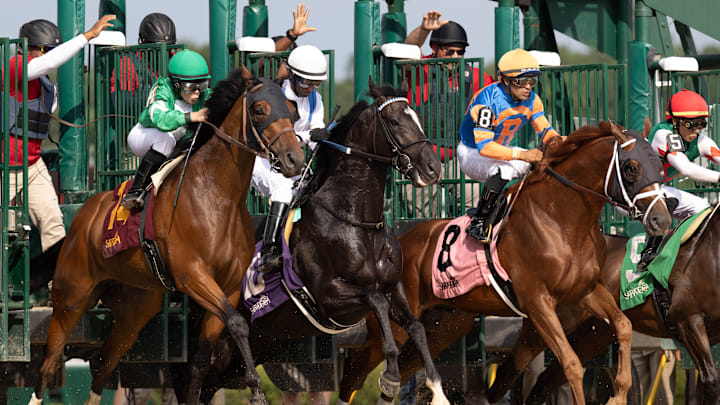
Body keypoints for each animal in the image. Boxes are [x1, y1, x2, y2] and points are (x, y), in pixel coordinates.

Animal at [32, 67, 304, 405]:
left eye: (292, 110)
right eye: (259, 110)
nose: (294, 159)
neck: (217, 196)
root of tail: (81, 217)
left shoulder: (227, 288)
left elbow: (202, 358)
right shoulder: (193, 277)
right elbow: (238, 323)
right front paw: (256, 391)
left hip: (134, 311)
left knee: (103, 364)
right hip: (71, 298)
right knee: (49, 363)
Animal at [338, 122, 673, 404]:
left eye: (659, 164)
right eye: (631, 168)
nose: (662, 220)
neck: (560, 218)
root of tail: (394, 245)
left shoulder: (585, 291)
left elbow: (624, 325)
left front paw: (619, 393)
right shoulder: (537, 302)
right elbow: (571, 364)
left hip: (444, 324)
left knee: (405, 366)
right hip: (393, 324)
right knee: (355, 367)